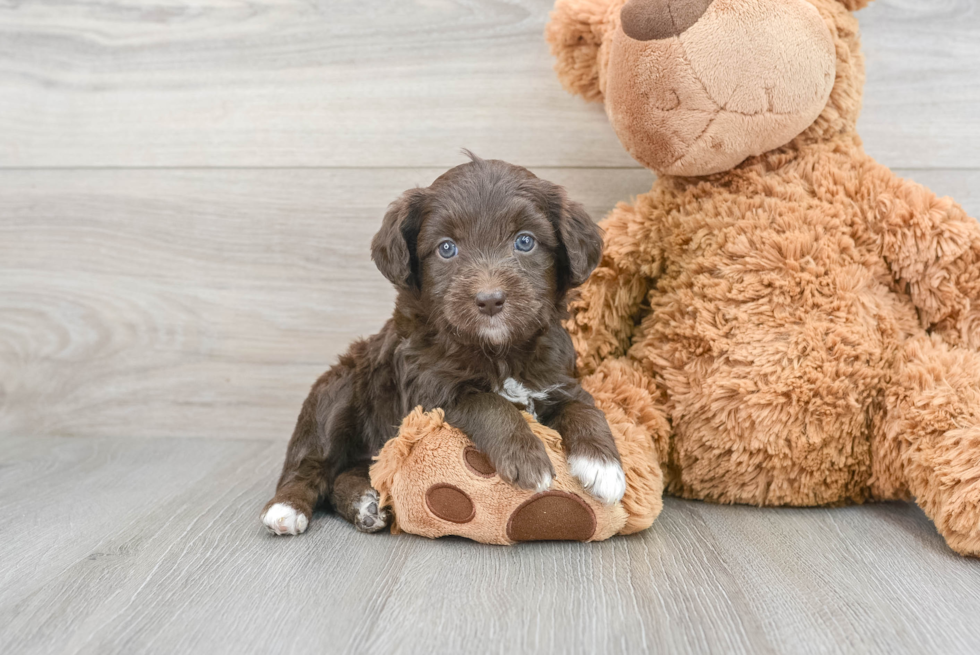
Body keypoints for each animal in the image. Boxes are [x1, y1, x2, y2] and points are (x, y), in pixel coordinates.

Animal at [262, 156, 628, 536]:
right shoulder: (429, 392)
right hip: (337, 391)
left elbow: (585, 407)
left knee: (349, 472)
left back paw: (365, 503)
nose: (490, 300)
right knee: (311, 463)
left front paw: (604, 466)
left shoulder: (557, 378)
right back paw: (287, 508)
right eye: (447, 248)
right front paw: (526, 457)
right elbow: (489, 402)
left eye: (525, 241)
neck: (499, 351)